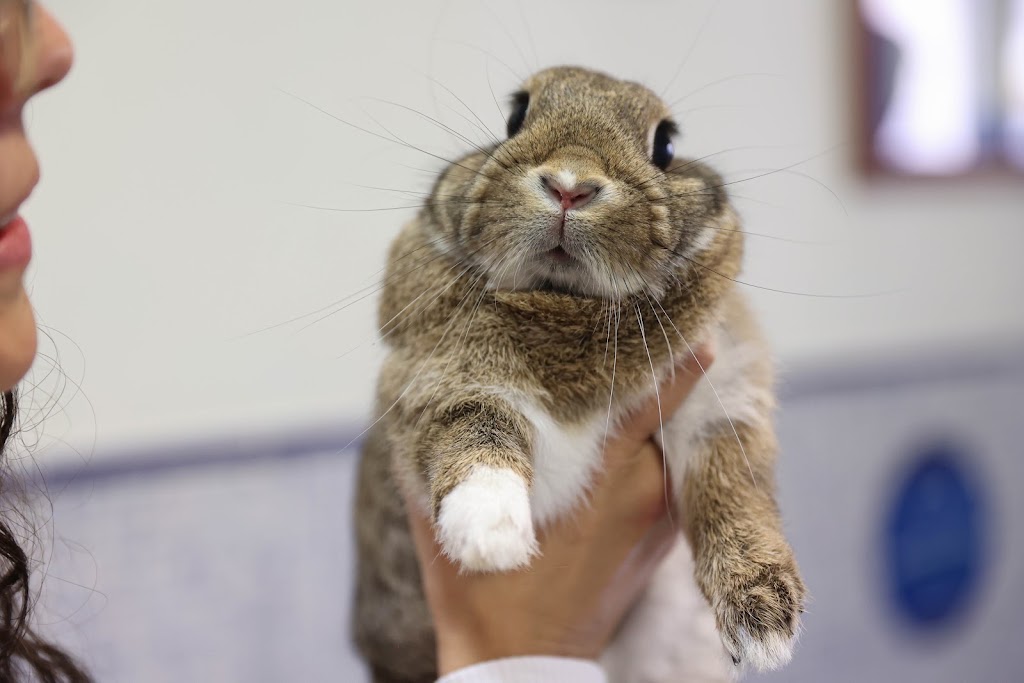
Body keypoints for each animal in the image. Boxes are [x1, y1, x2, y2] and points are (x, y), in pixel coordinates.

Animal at [352, 66, 805, 683]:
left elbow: (733, 487)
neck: (568, 305)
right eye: (515, 117)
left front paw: (764, 626)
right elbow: (477, 426)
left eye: (665, 146)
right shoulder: (437, 381)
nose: (570, 186)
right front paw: (491, 533)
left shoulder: (721, 402)